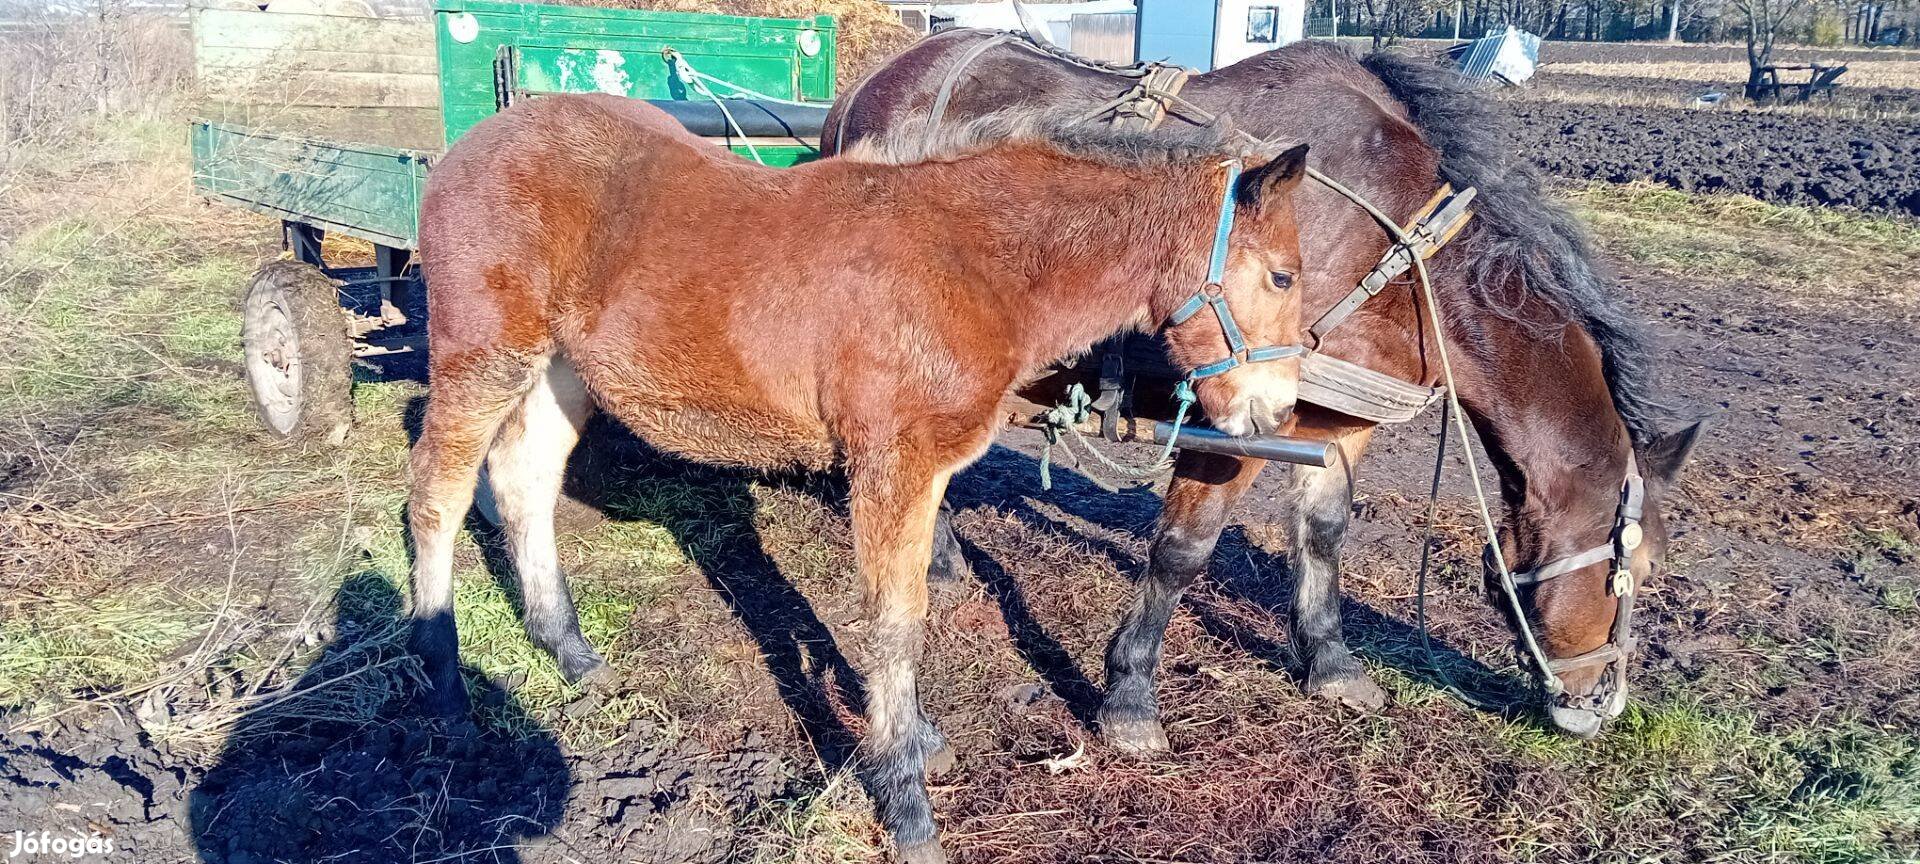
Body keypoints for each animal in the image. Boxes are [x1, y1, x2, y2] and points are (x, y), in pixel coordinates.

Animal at [414, 94, 1320, 864]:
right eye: (1282, 275)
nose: (1278, 415)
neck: (974, 261)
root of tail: (475, 141)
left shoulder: (925, 474)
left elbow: (908, 604)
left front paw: (919, 742)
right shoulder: (892, 464)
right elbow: (896, 623)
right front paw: (907, 802)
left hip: (560, 368)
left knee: (524, 482)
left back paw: (569, 650)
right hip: (482, 352)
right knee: (439, 495)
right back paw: (443, 678)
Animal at [833, 35, 1704, 748]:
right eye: (1640, 568)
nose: (1602, 706)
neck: (1392, 253)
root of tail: (870, 82)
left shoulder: (1338, 422)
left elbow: (1324, 535)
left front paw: (1331, 661)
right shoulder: (1238, 413)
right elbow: (1184, 550)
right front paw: (1130, 697)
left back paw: (942, 558)